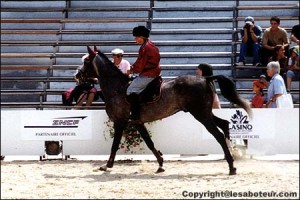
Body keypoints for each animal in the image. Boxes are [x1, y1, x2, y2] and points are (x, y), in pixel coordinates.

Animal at [79, 46, 251, 174]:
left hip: (201, 114)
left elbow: (114, 145)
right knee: (224, 124)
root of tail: (204, 78)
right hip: (205, 113)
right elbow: (149, 142)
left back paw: (231, 166)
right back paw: (233, 154)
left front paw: (107, 165)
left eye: (86, 60)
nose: (76, 75)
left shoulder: (120, 122)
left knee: (218, 135)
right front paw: (161, 164)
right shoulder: (138, 123)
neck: (118, 89)